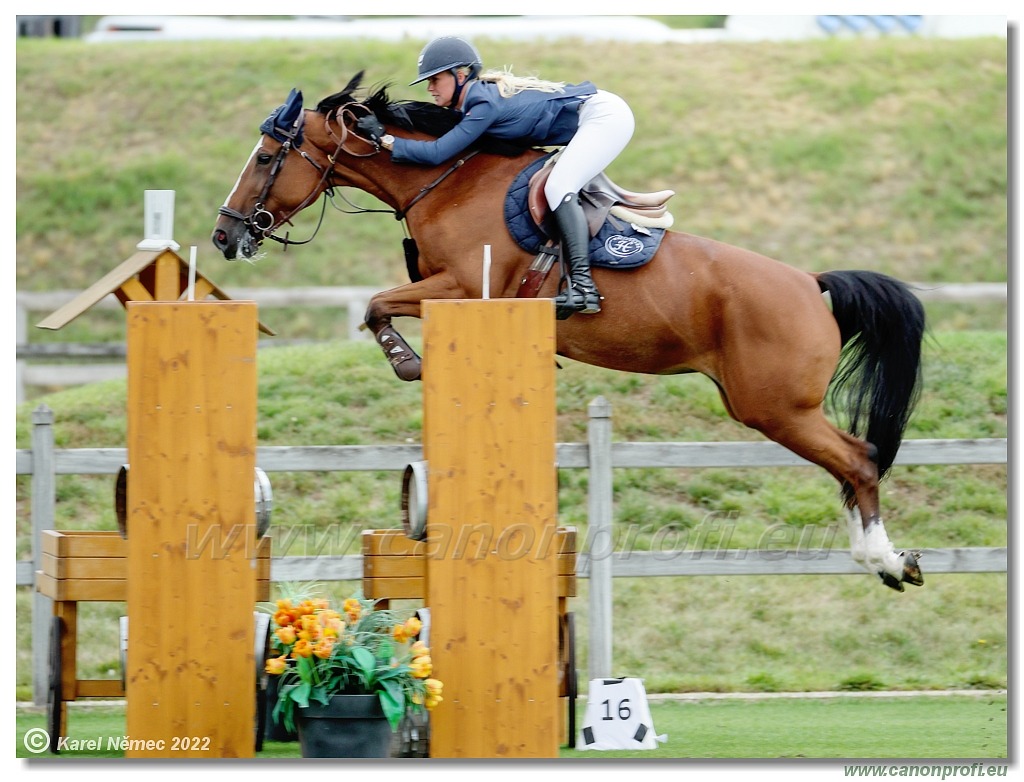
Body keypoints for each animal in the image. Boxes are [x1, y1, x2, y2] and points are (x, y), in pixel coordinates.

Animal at [209, 73, 929, 589]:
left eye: (267, 156)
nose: (223, 234)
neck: (446, 182)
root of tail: (812, 283)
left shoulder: (465, 286)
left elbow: (377, 305)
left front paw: (408, 364)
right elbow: (380, 306)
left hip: (774, 406)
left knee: (859, 460)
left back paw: (886, 561)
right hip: (766, 404)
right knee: (853, 464)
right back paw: (882, 558)